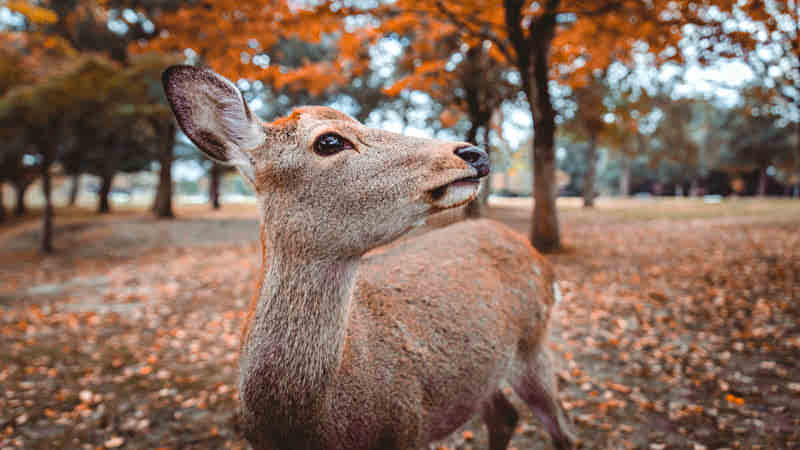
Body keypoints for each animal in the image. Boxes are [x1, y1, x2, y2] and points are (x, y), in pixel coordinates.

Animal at [162, 65, 576, 450]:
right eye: (330, 140)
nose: (474, 153)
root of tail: (541, 260)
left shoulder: (410, 426)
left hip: (534, 344)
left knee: (562, 430)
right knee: (504, 416)